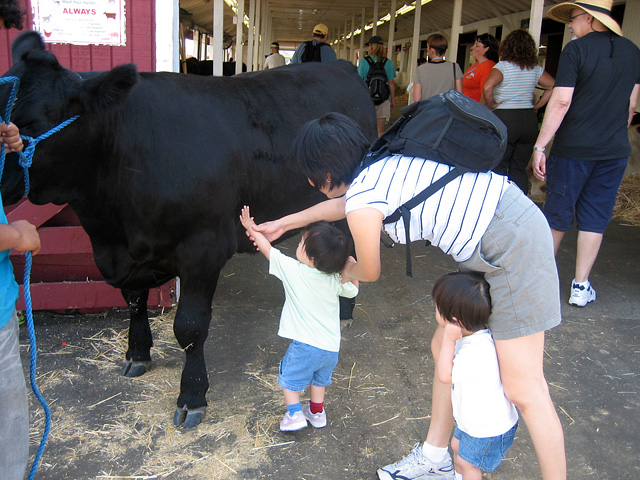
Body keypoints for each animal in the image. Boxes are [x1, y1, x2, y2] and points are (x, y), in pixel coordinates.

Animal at [0, 32, 378, 428]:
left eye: (29, 122)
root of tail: (340, 67)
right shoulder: (126, 255)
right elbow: (134, 300)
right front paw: (137, 354)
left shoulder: (202, 249)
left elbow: (190, 326)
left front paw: (192, 394)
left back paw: (344, 311)